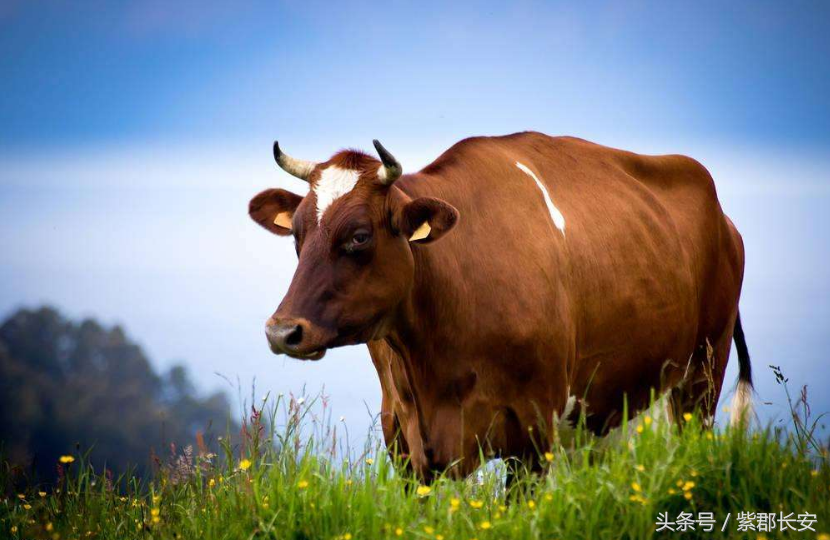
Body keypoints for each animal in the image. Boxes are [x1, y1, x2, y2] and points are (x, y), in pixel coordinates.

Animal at [247, 132, 752, 480]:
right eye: (297, 234)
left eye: (359, 236)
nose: (281, 331)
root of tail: (725, 218)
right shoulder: (404, 438)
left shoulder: (534, 429)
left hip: (702, 377)